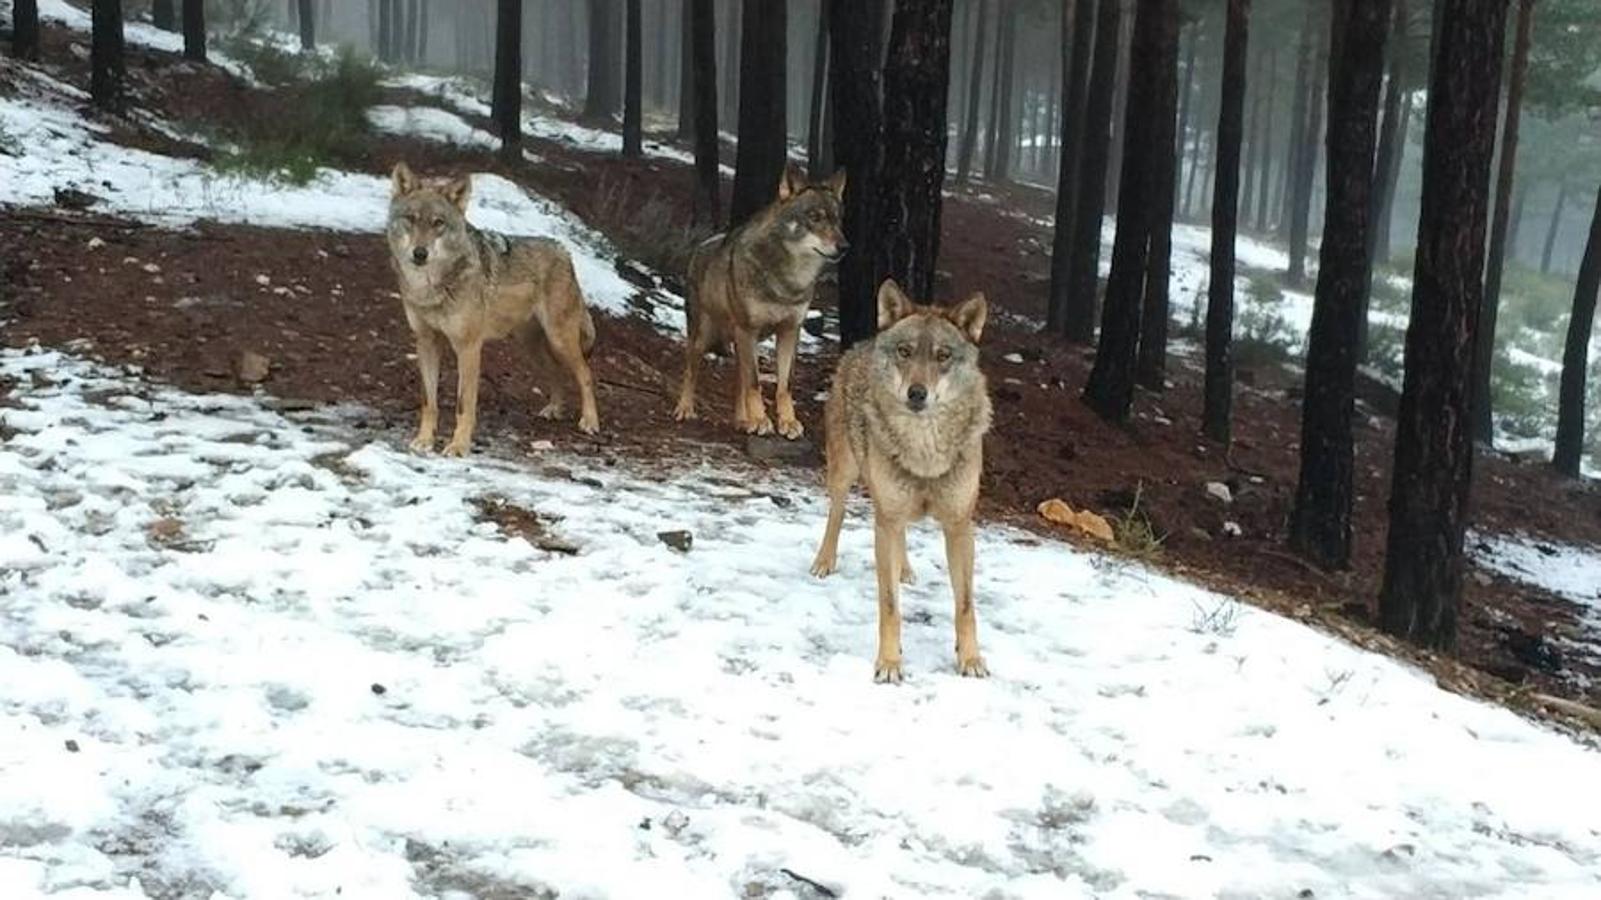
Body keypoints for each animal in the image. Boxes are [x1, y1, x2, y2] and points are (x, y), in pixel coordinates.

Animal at [387, 160, 601, 451]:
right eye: (410, 219)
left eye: (438, 223)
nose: (420, 254)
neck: (430, 287)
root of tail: (565, 252)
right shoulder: (426, 342)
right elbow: (428, 401)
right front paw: (424, 440)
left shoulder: (468, 348)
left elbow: (463, 405)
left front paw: (458, 447)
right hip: (530, 347)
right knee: (557, 373)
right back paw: (554, 410)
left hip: (560, 340)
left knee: (586, 374)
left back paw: (589, 421)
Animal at [672, 167, 851, 438]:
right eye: (815, 217)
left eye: (838, 220)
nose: (844, 247)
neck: (789, 280)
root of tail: (700, 245)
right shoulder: (748, 329)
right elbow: (755, 384)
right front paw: (761, 420)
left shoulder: (789, 332)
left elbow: (783, 386)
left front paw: (787, 422)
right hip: (705, 337)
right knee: (692, 371)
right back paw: (685, 409)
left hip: (742, 342)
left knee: (740, 380)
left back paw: (742, 420)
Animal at [806, 280, 992, 679]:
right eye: (905, 352)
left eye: (943, 356)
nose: (916, 393)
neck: (925, 453)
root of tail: (863, 343)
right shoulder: (886, 521)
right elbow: (890, 606)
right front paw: (890, 663)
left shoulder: (960, 526)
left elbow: (966, 606)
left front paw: (970, 659)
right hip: (844, 474)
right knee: (836, 514)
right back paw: (824, 561)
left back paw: (905, 570)